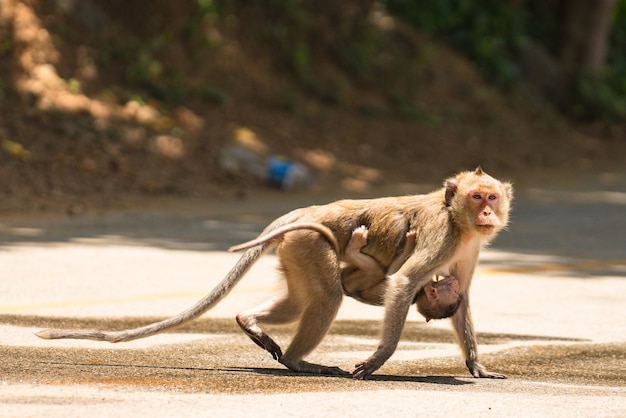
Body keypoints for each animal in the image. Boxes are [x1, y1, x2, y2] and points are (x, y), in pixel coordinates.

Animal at [35, 167, 512, 378]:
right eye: (476, 197)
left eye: (491, 196)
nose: (489, 212)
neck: (460, 222)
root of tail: (307, 211)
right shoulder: (443, 236)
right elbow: (402, 283)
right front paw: (377, 360)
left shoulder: (468, 249)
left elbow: (460, 299)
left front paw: (476, 366)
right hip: (310, 242)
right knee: (328, 297)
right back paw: (300, 361)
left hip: (296, 248)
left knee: (305, 299)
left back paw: (251, 323)